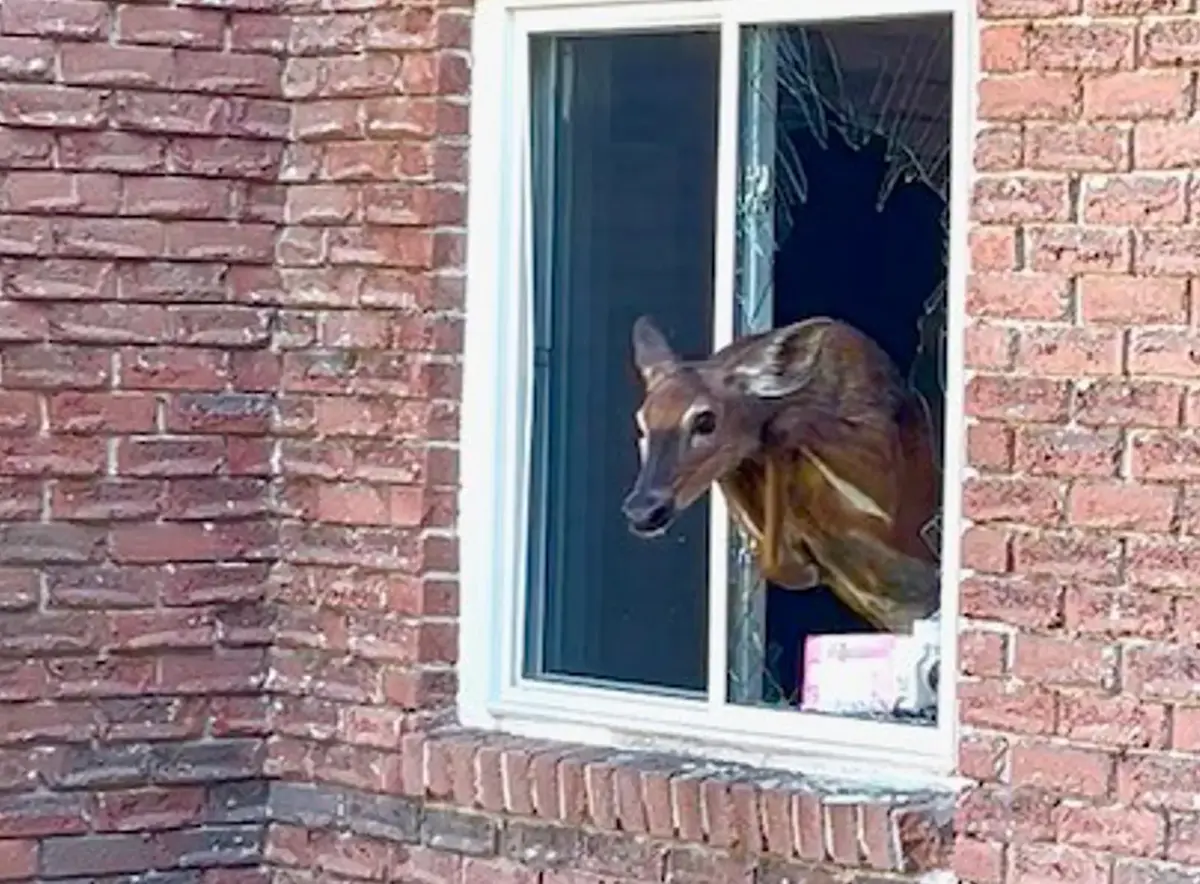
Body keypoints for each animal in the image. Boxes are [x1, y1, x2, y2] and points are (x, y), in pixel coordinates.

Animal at [620, 315, 941, 635]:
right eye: (641, 423)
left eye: (706, 420)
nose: (642, 510)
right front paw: (802, 569)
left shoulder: (891, 487)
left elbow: (787, 426)